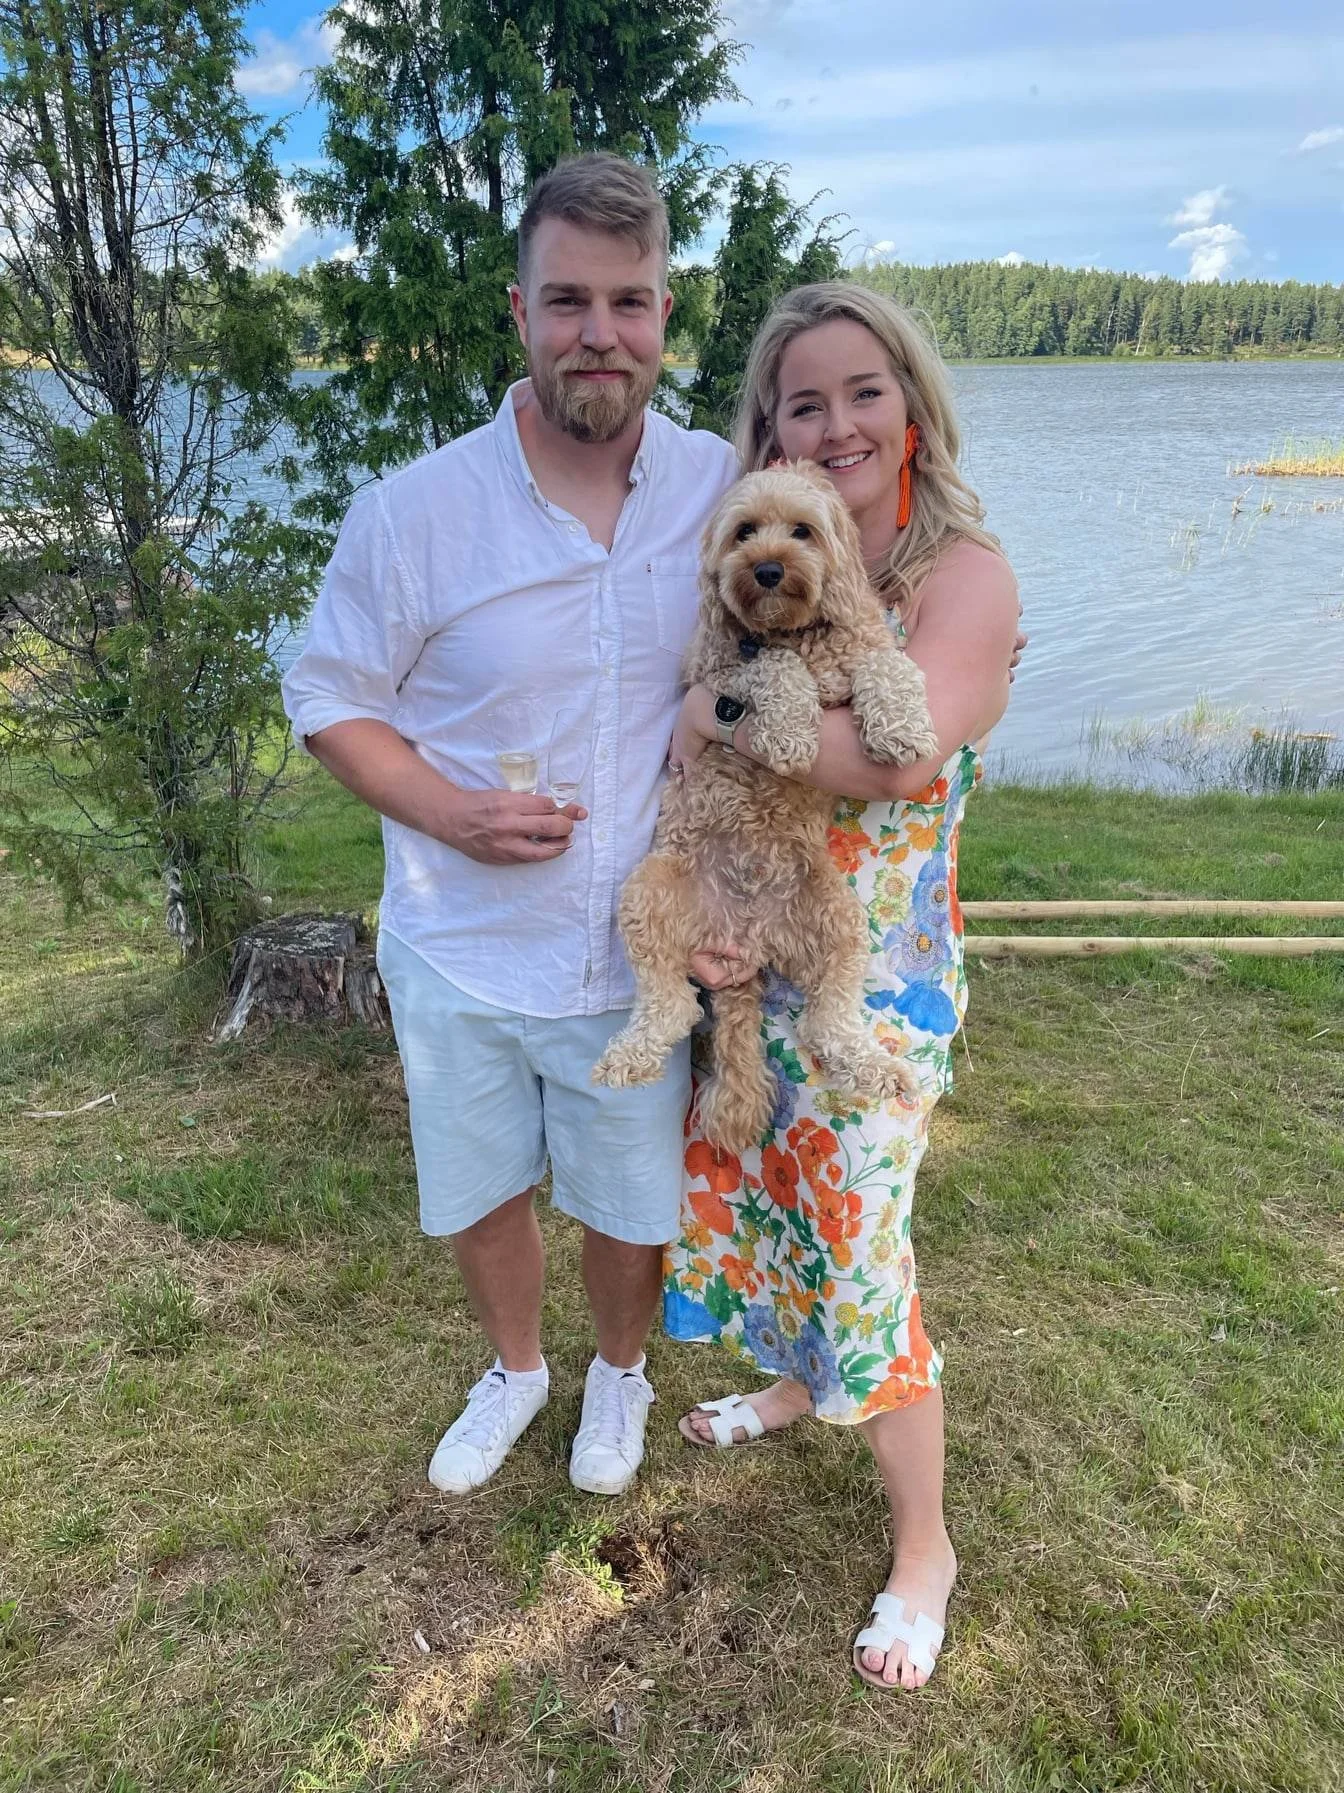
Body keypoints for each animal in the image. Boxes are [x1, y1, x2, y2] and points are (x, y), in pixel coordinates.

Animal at [592, 461, 940, 1153]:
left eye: (802, 530)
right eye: (744, 532)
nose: (769, 569)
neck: (798, 632)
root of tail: (744, 941)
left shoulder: (863, 647)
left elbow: (887, 664)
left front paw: (902, 727)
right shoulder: (717, 673)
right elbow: (771, 667)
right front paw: (789, 731)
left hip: (838, 918)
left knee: (829, 1021)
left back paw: (875, 1066)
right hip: (649, 890)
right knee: (671, 1004)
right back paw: (629, 1055)